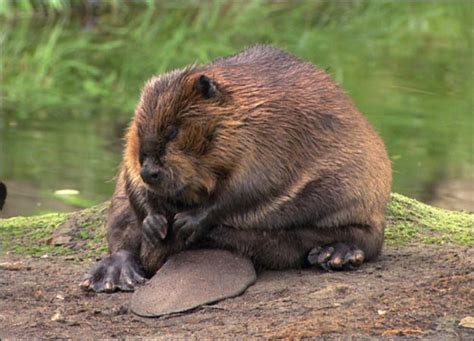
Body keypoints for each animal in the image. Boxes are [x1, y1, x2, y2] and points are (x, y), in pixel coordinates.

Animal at [80, 43, 392, 290]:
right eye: (140, 128)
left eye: (173, 131)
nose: (150, 171)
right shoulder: (132, 153)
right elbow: (132, 178)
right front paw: (156, 222)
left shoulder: (271, 132)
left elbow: (253, 186)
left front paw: (187, 222)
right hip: (119, 208)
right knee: (122, 232)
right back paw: (113, 276)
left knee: (364, 239)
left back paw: (334, 254)